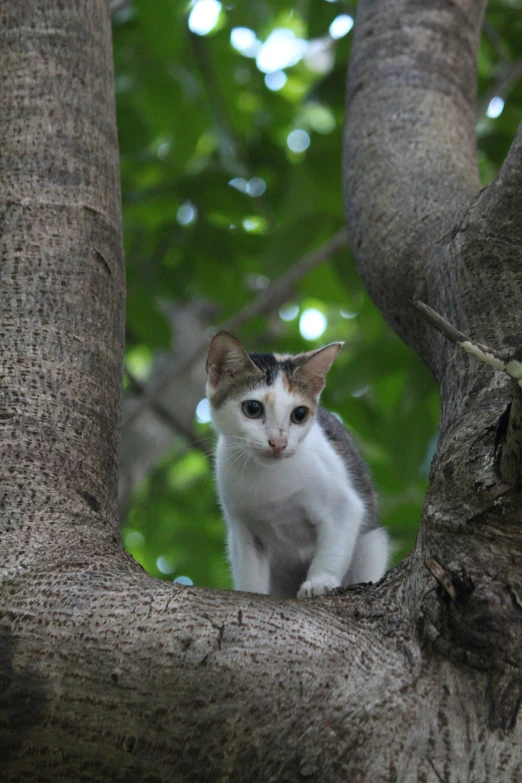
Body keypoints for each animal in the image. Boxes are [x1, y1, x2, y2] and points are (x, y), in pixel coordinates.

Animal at [205, 330, 388, 600]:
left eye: (299, 414)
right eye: (252, 408)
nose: (278, 442)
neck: (269, 479)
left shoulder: (344, 506)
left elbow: (334, 545)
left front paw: (320, 582)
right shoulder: (243, 530)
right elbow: (249, 569)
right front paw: (251, 592)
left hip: (372, 545)